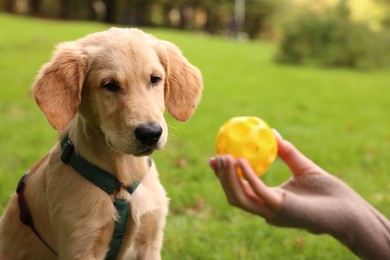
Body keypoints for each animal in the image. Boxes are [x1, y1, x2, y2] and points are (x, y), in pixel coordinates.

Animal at [0, 27, 203, 258]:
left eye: (155, 79)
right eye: (109, 85)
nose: (150, 133)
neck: (122, 181)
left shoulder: (150, 242)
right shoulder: (80, 244)